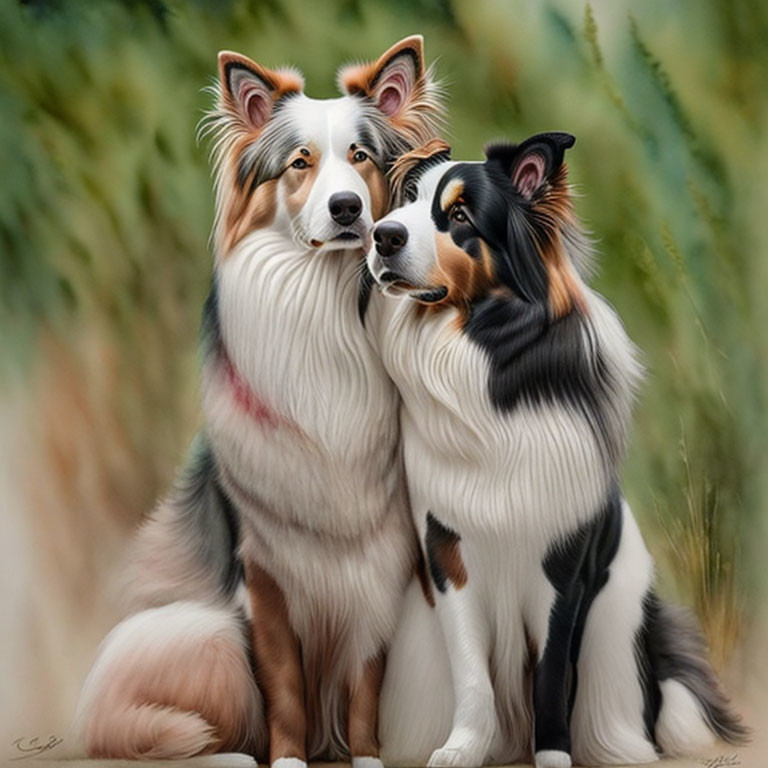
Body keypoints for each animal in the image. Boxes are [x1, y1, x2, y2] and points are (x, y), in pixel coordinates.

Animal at [73, 36, 444, 768]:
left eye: (361, 156)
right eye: (300, 162)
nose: (347, 209)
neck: (328, 312)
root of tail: (85, 709)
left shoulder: (381, 566)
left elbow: (366, 683)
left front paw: (365, 755)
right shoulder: (266, 574)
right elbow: (286, 688)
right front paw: (291, 758)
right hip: (204, 631)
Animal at [364, 136, 748, 768]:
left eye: (461, 216)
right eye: (407, 202)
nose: (381, 235)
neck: (490, 354)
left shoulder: (564, 568)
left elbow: (550, 678)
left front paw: (553, 757)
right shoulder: (448, 551)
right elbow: (471, 670)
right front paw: (461, 749)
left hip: (619, 630)